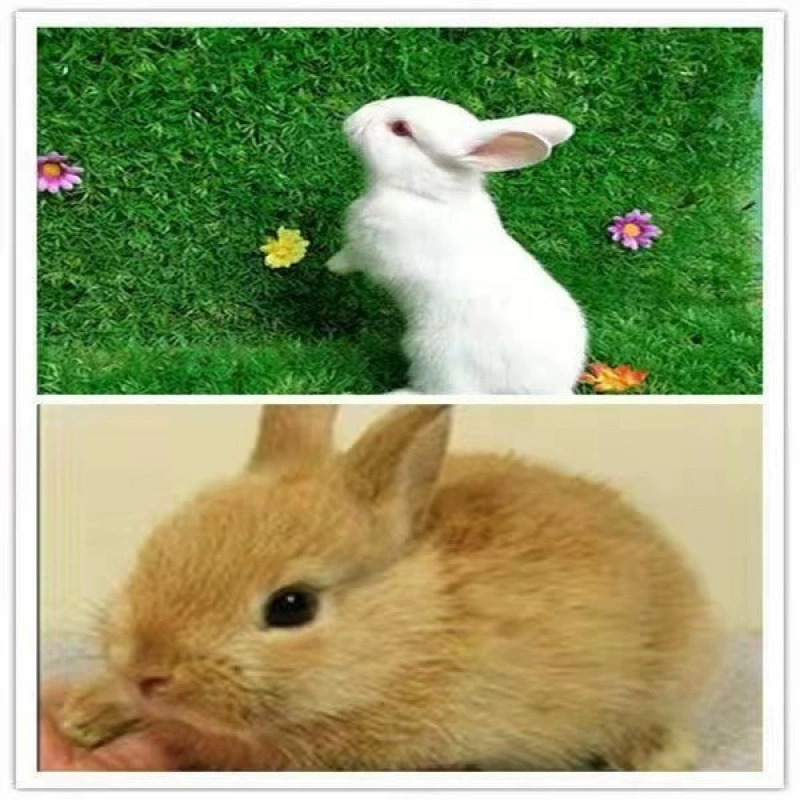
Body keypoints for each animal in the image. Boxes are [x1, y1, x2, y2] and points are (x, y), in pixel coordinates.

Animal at [57, 405, 717, 771]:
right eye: (159, 545)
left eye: (292, 607)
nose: (146, 670)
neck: (409, 638)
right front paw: (82, 717)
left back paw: (658, 756)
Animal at [327, 96, 587, 395]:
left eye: (401, 129)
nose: (352, 120)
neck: (427, 195)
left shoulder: (375, 252)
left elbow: (352, 257)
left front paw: (332, 266)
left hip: (436, 360)